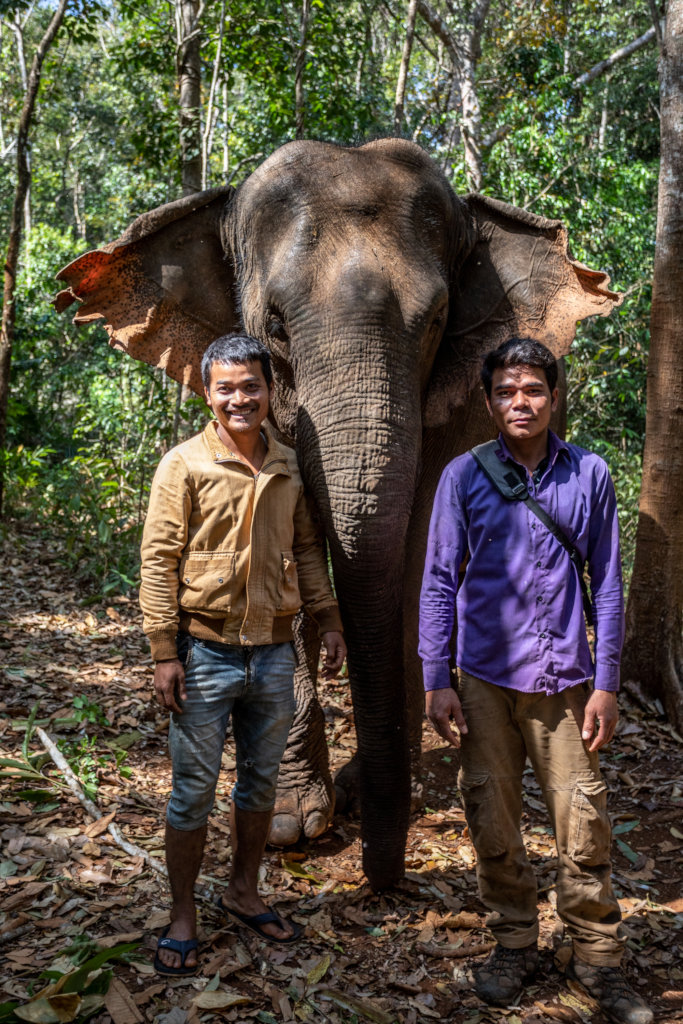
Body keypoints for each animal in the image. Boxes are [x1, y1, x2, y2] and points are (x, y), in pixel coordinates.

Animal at [55, 138, 620, 891]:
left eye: (436, 321)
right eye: (273, 327)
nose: (383, 880)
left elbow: (416, 550)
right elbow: (288, 550)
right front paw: (294, 822)